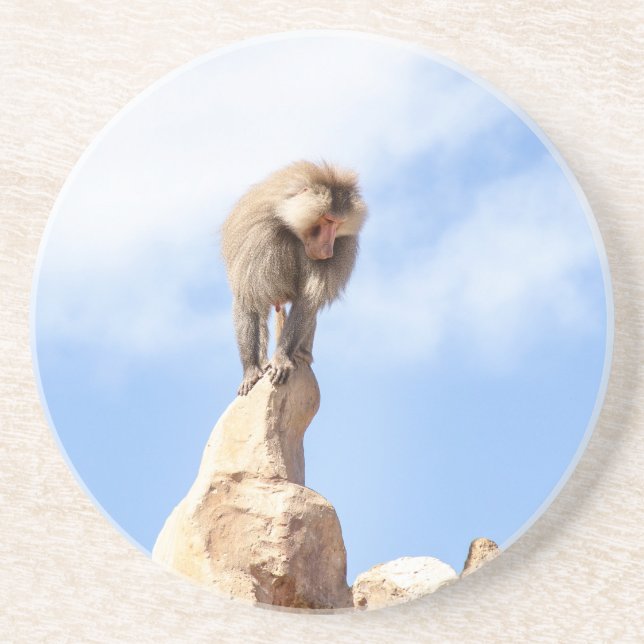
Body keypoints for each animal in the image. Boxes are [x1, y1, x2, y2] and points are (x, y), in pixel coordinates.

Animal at [221, 160, 367, 396]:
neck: (290, 225)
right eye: (328, 220)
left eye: (338, 224)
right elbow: (248, 299)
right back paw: (263, 363)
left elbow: (308, 302)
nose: (328, 251)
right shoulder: (257, 238)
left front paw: (282, 359)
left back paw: (301, 355)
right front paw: (251, 371)